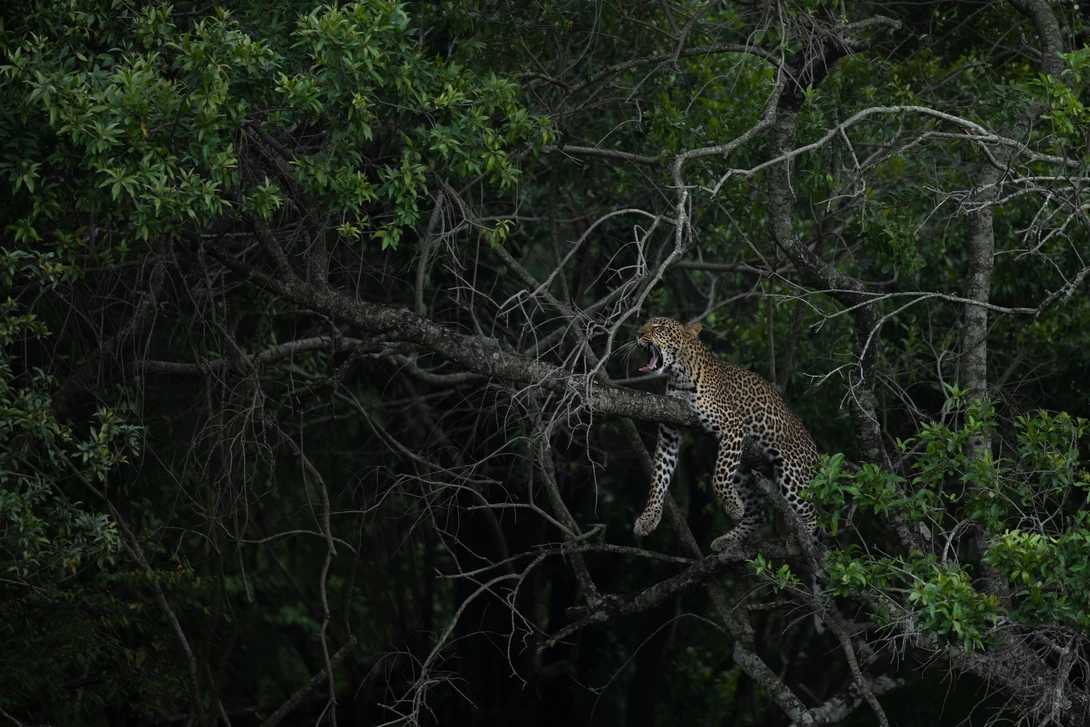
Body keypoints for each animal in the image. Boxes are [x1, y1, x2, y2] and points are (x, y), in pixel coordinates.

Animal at [632, 316, 818, 553]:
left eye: (660, 327)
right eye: (646, 324)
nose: (638, 334)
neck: (679, 374)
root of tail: (815, 450)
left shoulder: (733, 424)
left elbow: (719, 478)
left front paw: (733, 507)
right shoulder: (669, 436)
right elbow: (658, 478)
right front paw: (648, 518)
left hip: (792, 475)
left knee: (813, 510)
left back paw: (798, 540)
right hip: (743, 471)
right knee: (757, 515)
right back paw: (727, 539)